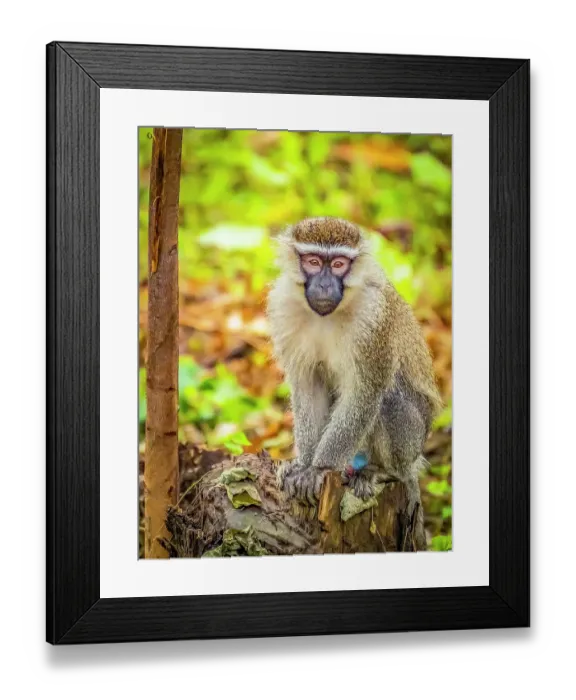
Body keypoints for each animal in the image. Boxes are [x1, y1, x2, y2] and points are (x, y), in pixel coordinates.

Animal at [266, 216, 442, 515]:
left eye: (338, 264)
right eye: (314, 261)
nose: (325, 285)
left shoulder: (374, 321)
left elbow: (365, 394)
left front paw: (319, 469)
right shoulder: (283, 308)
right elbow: (308, 387)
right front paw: (303, 465)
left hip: (414, 440)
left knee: (389, 398)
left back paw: (385, 472)